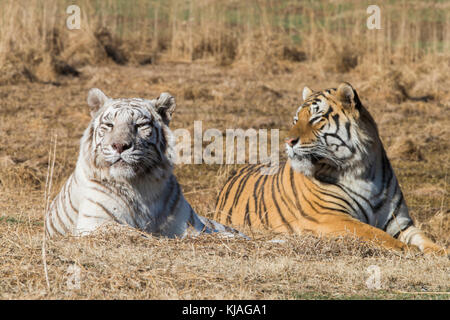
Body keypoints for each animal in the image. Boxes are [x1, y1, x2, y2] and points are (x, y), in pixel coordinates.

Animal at [45, 89, 246, 239]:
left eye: (140, 125)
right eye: (109, 125)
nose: (120, 145)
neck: (141, 184)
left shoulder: (188, 225)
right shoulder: (95, 222)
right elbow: (130, 231)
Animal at [217, 82, 446, 255]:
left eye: (315, 118)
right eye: (295, 120)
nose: (288, 141)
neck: (363, 172)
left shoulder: (400, 222)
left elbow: (424, 238)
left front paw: (441, 252)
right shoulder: (331, 217)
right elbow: (373, 233)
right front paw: (407, 249)